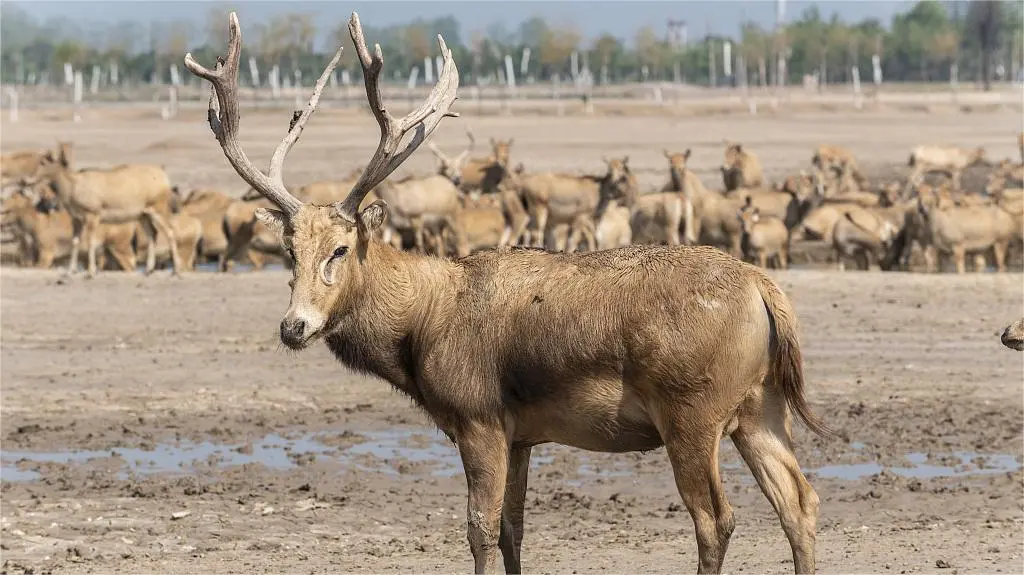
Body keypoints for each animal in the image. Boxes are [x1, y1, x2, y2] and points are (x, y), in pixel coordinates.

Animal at [188, 12, 831, 575]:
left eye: (340, 250)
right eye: (288, 251)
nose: (293, 326)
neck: (422, 329)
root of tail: (766, 291)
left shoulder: (479, 416)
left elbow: (478, 528)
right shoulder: (521, 434)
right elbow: (512, 530)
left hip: (691, 409)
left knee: (716, 519)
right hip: (761, 405)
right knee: (800, 502)